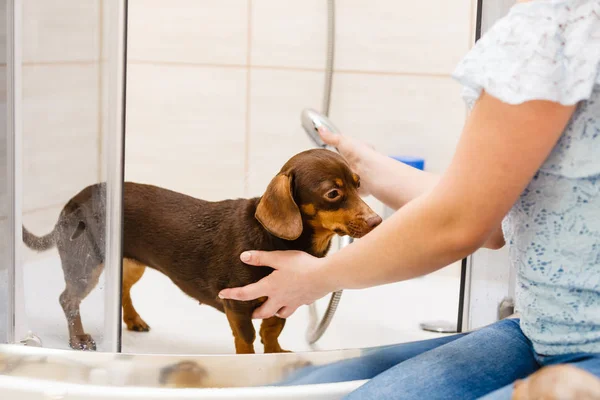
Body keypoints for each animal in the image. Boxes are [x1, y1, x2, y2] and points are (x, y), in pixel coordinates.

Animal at [23, 150, 382, 354]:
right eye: (333, 193)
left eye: (358, 183)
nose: (378, 222)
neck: (278, 240)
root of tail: (74, 200)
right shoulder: (236, 304)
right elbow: (247, 339)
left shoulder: (282, 301)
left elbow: (271, 332)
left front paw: (276, 355)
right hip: (85, 266)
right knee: (68, 300)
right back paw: (79, 339)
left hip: (132, 264)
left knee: (122, 289)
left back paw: (133, 320)